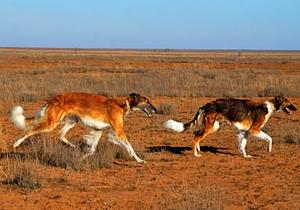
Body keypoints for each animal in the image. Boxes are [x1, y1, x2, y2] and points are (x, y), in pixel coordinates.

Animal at [11, 92, 157, 163]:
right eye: (147, 101)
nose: (156, 110)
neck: (122, 104)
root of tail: (52, 99)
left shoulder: (99, 130)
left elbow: (92, 150)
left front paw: (81, 158)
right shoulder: (119, 131)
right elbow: (130, 147)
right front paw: (139, 160)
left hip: (72, 121)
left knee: (60, 134)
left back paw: (73, 146)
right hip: (51, 123)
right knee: (30, 131)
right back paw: (16, 143)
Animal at [164, 96, 298, 157]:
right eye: (288, 102)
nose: (296, 108)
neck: (269, 107)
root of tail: (206, 105)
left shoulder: (245, 132)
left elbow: (242, 145)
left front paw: (245, 155)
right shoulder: (254, 130)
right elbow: (270, 138)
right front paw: (269, 149)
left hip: (213, 126)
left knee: (196, 135)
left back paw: (198, 150)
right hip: (210, 127)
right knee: (195, 138)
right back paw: (195, 154)